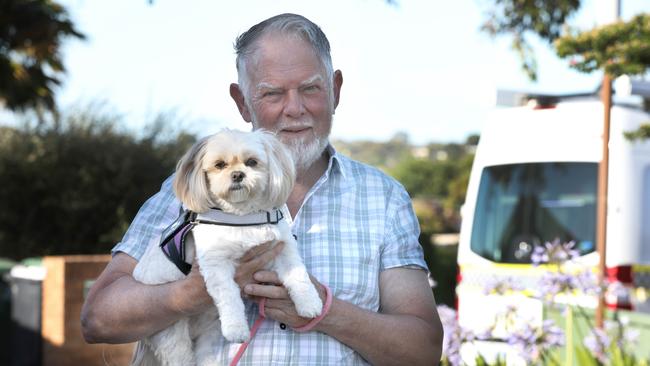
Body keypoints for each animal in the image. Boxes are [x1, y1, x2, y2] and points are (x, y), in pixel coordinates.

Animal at [131, 129, 322, 366]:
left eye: (252, 162)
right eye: (219, 165)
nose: (238, 175)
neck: (242, 216)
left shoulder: (284, 249)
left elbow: (298, 276)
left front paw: (310, 303)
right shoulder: (216, 265)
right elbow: (229, 295)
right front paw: (236, 329)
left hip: (208, 334)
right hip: (173, 335)